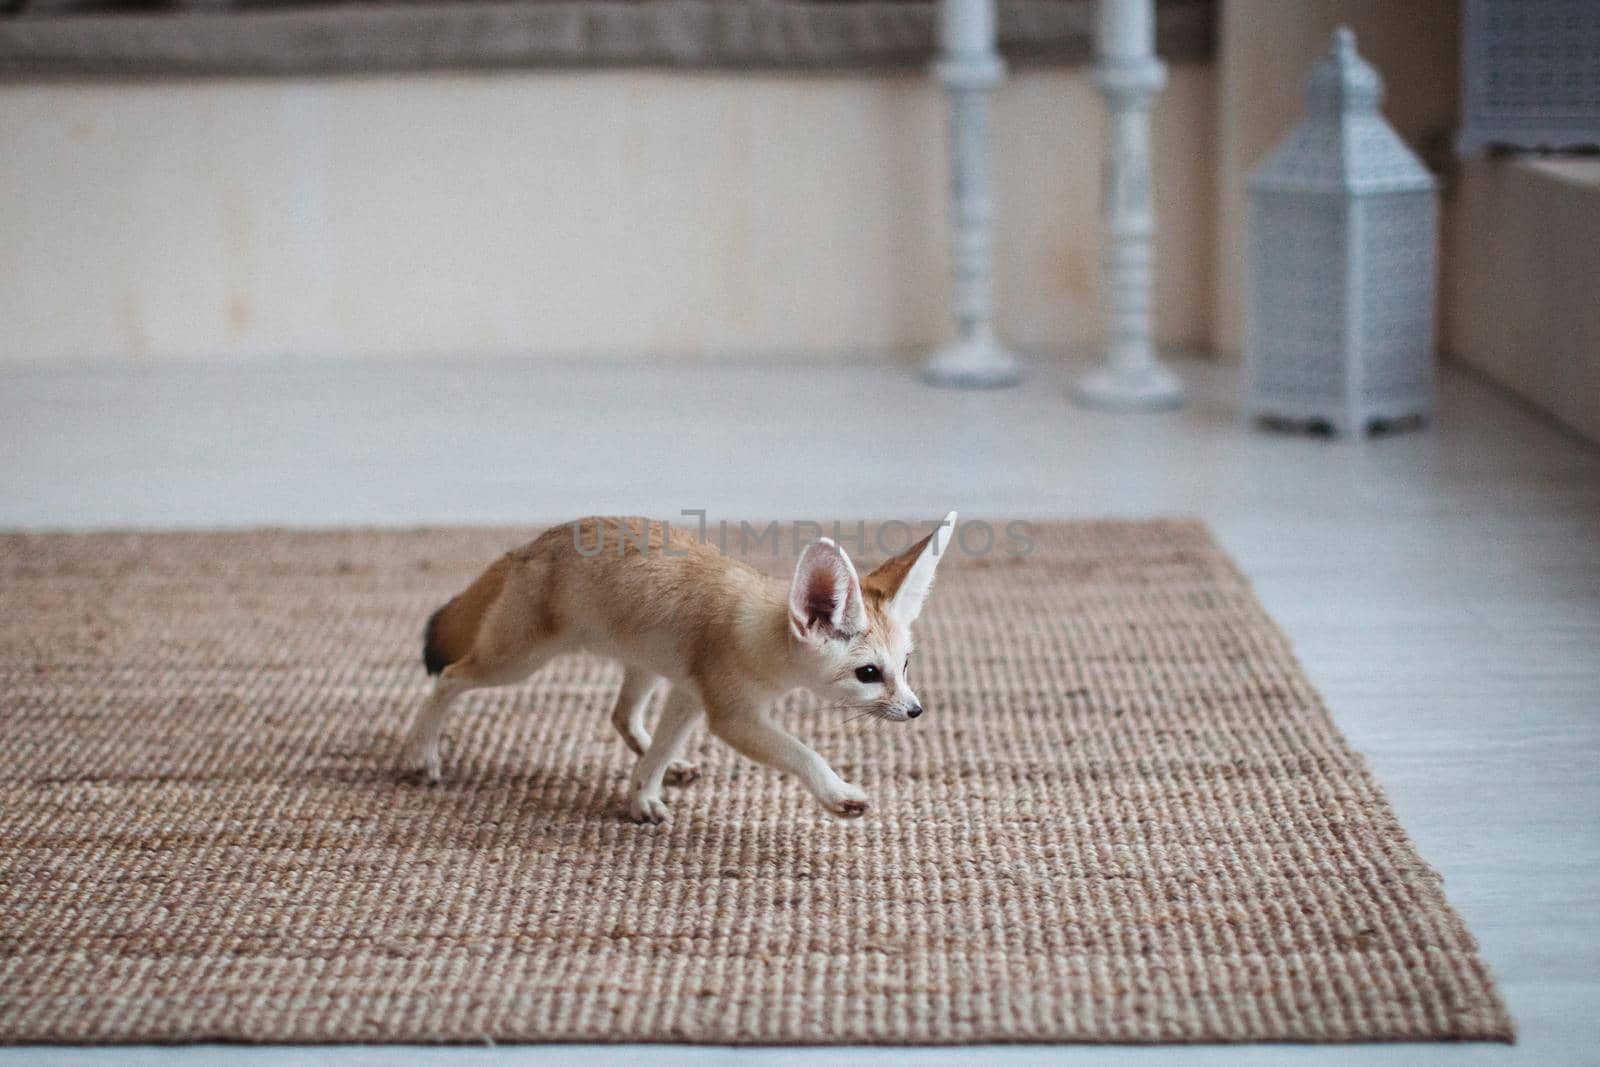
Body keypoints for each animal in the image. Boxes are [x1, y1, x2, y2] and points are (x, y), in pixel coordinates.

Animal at [406, 511, 953, 825]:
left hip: (649, 668)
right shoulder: (731, 717)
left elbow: (660, 750)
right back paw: (421, 753)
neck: (756, 628)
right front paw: (837, 793)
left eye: (905, 665)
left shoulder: (690, 696)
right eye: (869, 674)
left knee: (622, 717)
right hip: (516, 662)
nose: (916, 710)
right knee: (449, 678)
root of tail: (531, 544)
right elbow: (804, 754)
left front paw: (642, 795)